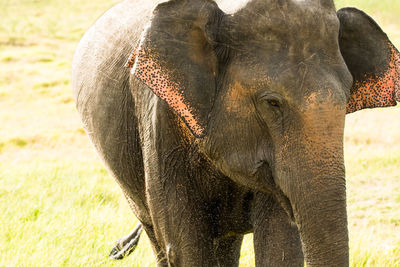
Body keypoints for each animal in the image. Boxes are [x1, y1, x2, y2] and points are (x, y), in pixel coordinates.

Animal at [72, 0, 400, 266]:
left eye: (346, 100)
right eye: (272, 103)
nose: (114, 250)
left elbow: (280, 247)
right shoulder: (159, 119)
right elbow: (184, 249)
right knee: (159, 238)